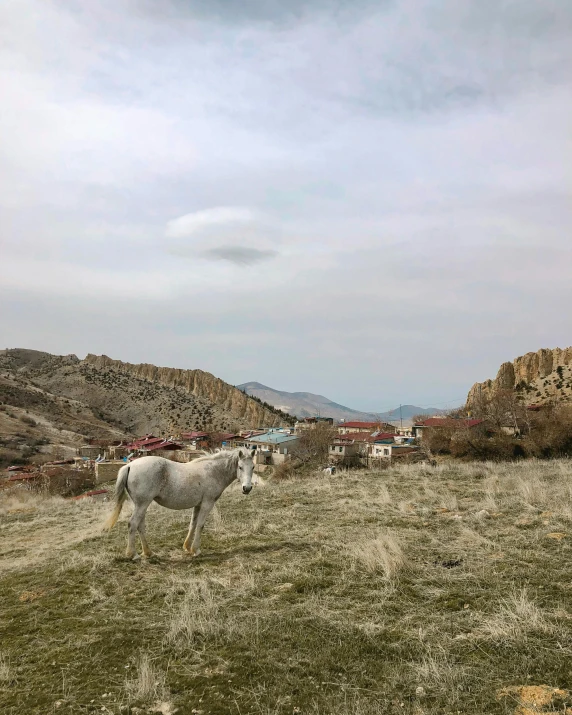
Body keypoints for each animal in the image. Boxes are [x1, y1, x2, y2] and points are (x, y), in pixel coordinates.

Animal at [103, 448, 255, 560]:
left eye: (253, 467)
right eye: (240, 467)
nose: (247, 488)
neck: (213, 472)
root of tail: (129, 465)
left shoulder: (198, 505)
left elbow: (193, 524)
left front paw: (187, 547)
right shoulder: (207, 503)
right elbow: (200, 525)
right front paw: (196, 550)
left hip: (142, 505)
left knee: (140, 526)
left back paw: (148, 552)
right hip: (142, 504)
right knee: (133, 524)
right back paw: (133, 554)